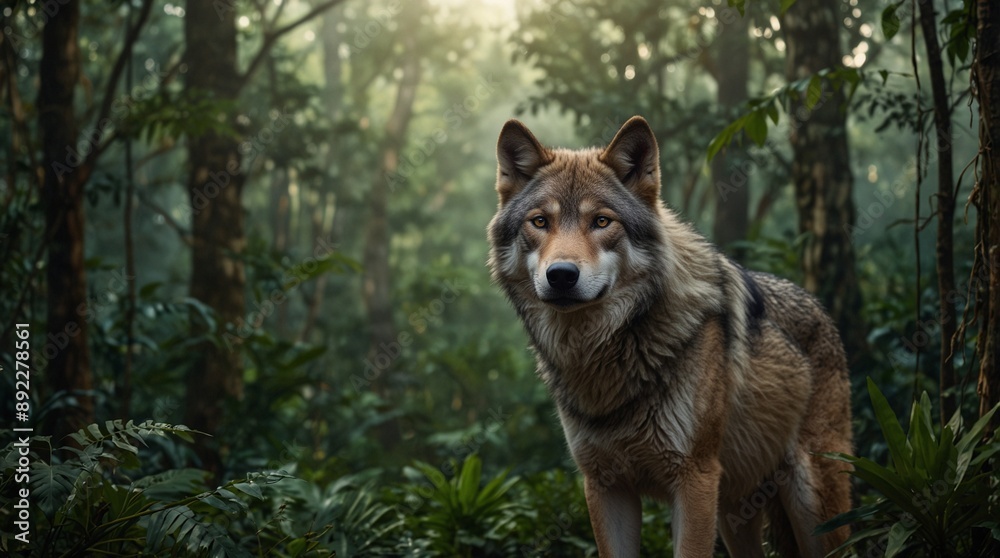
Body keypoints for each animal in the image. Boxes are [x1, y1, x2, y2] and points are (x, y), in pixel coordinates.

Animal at [487, 116, 852, 557]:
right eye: (540, 222)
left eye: (602, 222)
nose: (560, 275)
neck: (605, 354)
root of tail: (822, 310)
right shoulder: (605, 485)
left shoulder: (694, 480)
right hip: (735, 515)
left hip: (815, 509)